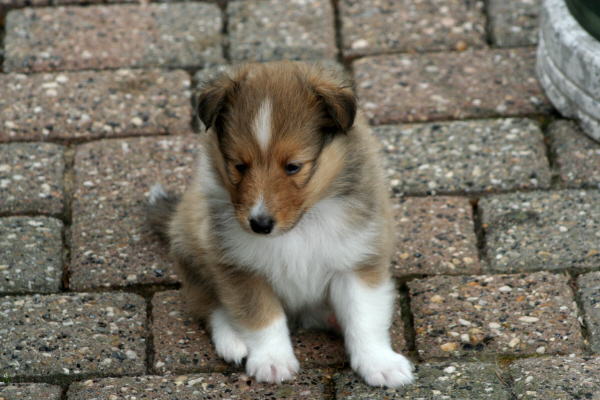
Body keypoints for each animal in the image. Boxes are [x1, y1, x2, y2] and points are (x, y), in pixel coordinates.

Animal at [147, 61, 414, 387]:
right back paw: (233, 340)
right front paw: (273, 362)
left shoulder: (358, 257)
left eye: (293, 166)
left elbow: (365, 316)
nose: (259, 224)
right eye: (239, 165)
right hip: (191, 247)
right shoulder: (239, 267)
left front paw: (380, 363)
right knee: (210, 306)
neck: (300, 227)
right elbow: (261, 316)